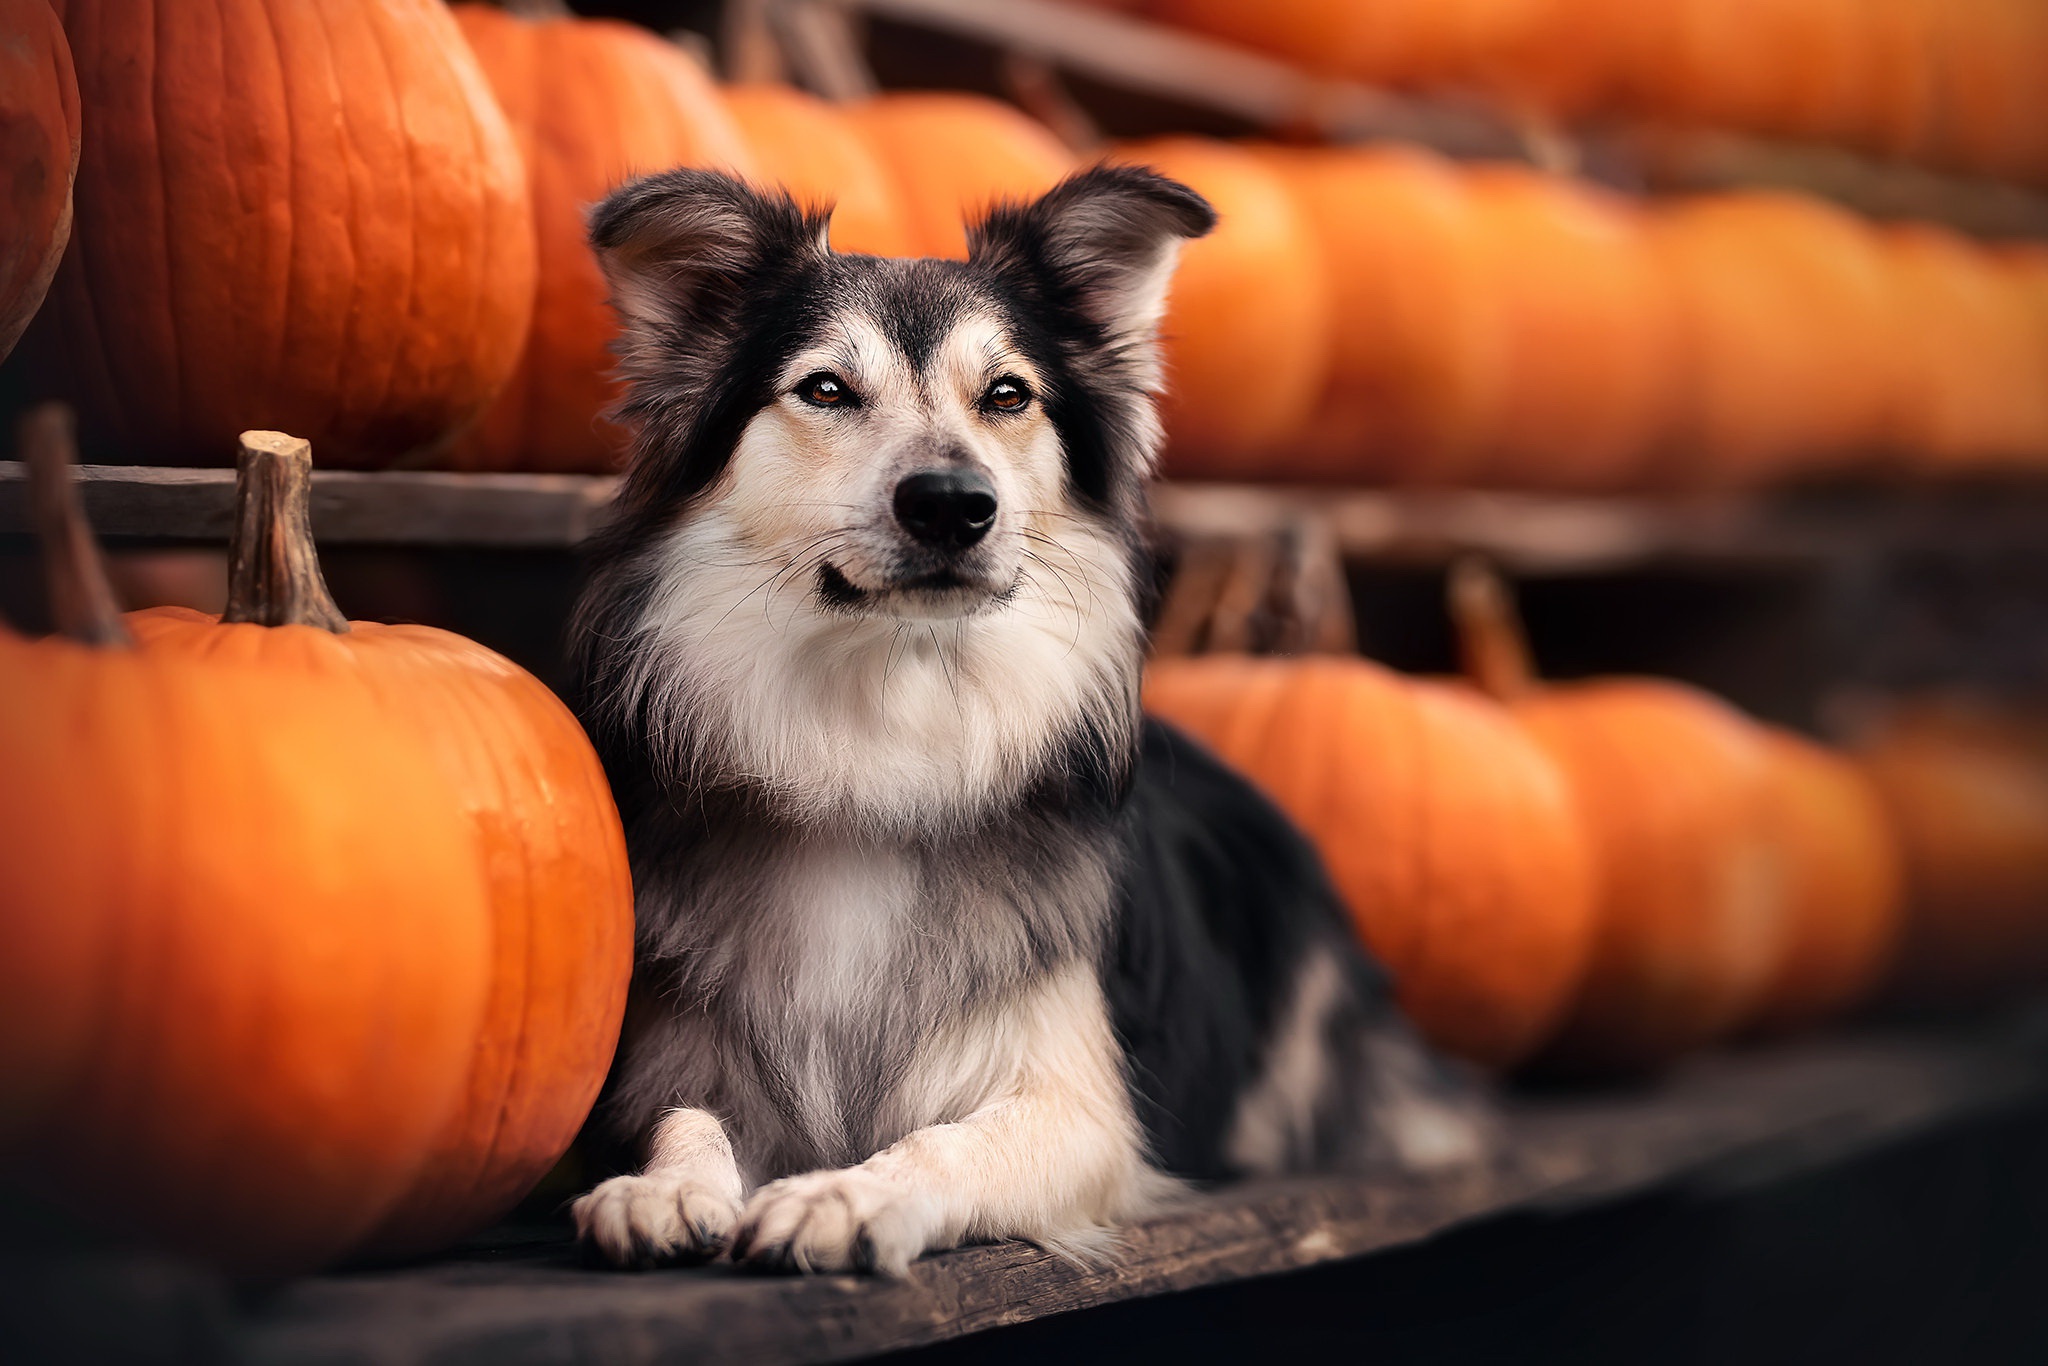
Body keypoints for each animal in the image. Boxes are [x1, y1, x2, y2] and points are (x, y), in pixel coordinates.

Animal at [565, 165, 1490, 1277]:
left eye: (1007, 395)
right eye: (825, 389)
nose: (952, 504)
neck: (890, 730)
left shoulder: (1085, 1111)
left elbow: (949, 1140)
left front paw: (844, 1191)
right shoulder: (672, 1054)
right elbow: (684, 1114)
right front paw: (663, 1187)